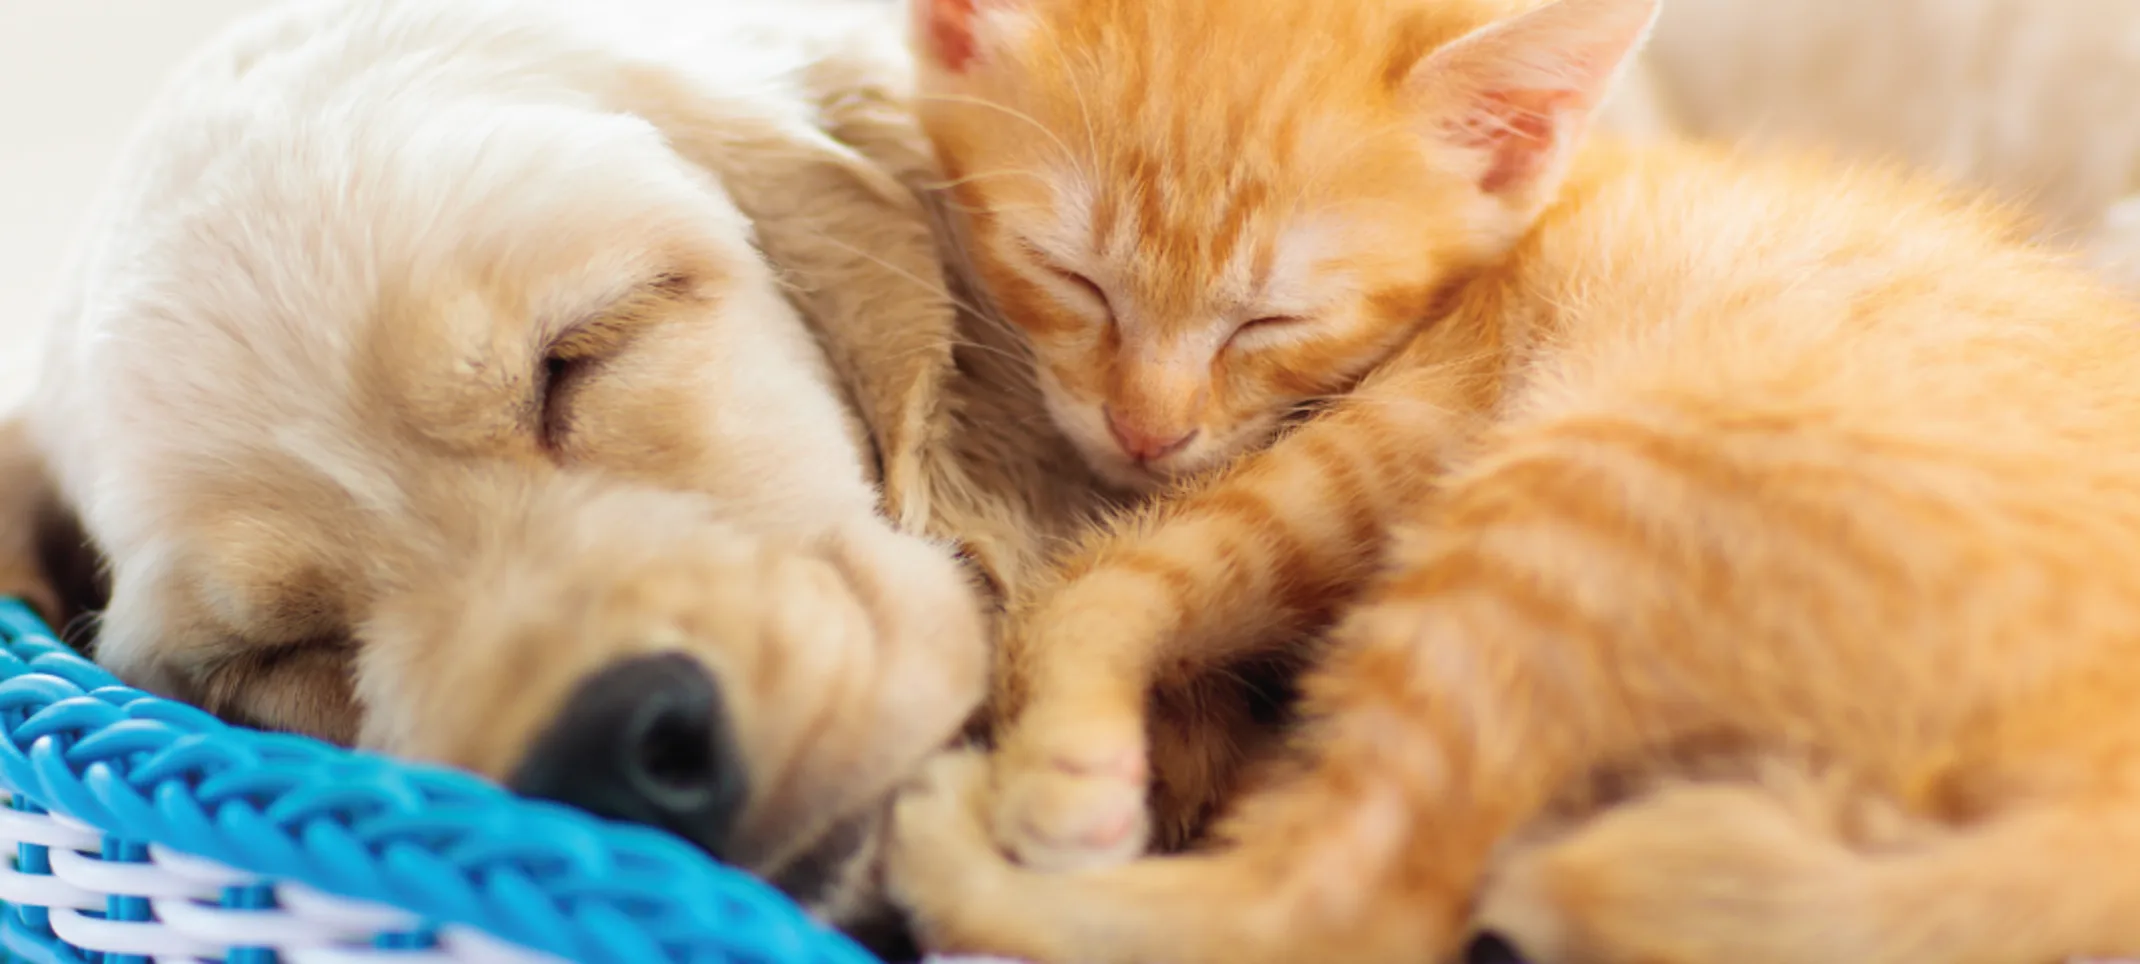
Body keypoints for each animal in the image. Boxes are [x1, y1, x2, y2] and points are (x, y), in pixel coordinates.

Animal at [885, 0, 2140, 955]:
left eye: (1273, 320)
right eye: (1070, 277)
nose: (1145, 431)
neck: (1532, 216)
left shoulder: (1410, 416)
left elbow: (1131, 564)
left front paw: (1065, 756)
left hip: (1587, 490)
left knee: (1340, 901)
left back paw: (956, 866)